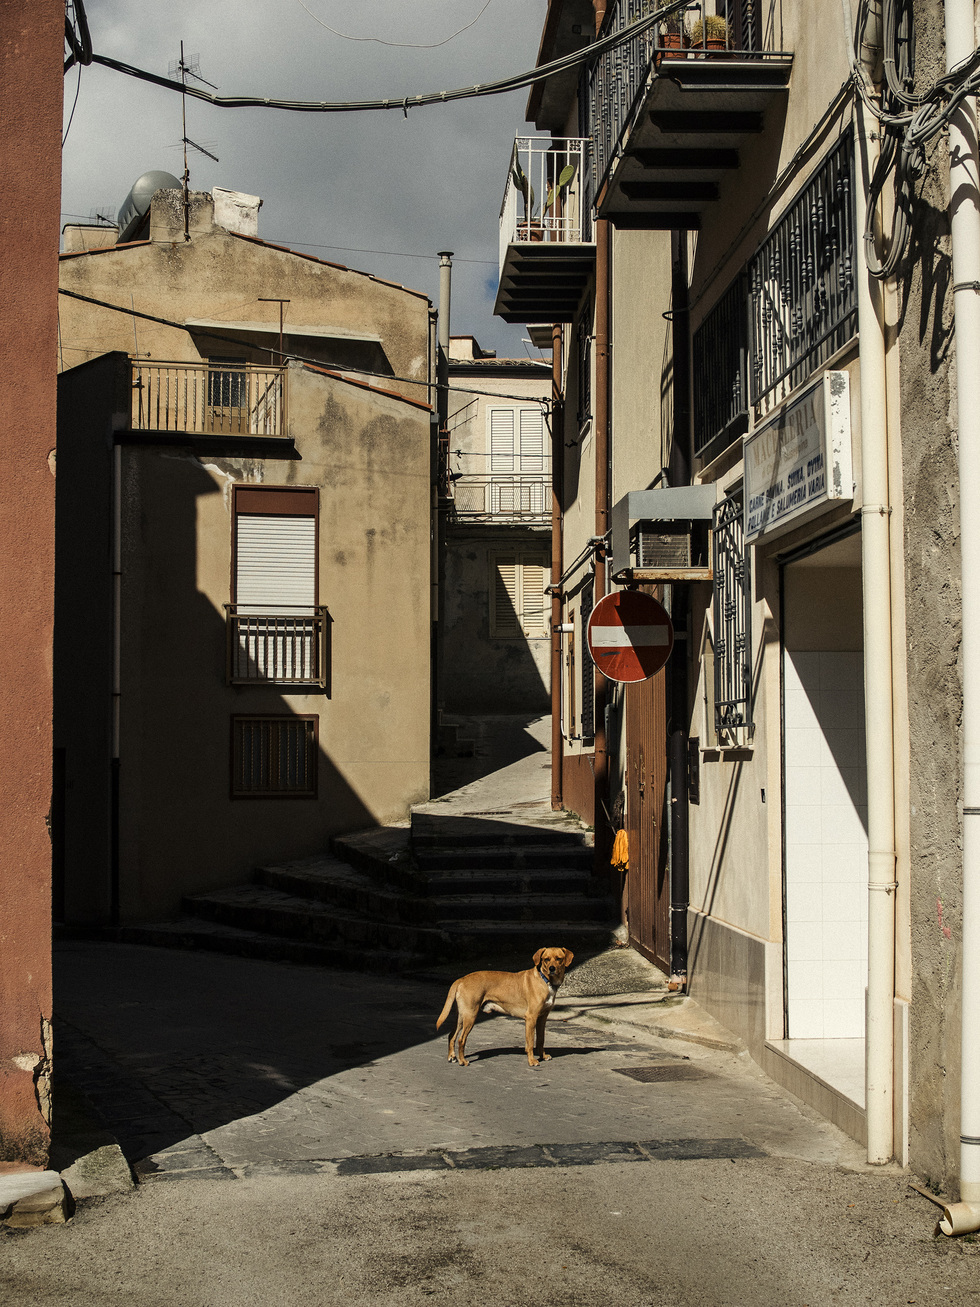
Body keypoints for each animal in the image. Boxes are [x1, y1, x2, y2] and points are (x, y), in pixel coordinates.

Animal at [435, 947, 574, 1068]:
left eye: (559, 959)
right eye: (546, 959)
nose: (552, 968)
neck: (545, 980)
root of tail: (461, 979)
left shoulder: (542, 1018)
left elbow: (541, 1040)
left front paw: (543, 1056)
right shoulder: (531, 1018)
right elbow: (530, 1043)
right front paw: (532, 1061)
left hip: (461, 1017)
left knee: (451, 1035)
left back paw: (452, 1057)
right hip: (470, 1016)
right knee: (461, 1039)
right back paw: (462, 1061)